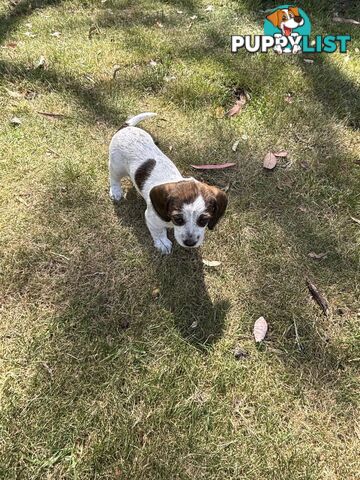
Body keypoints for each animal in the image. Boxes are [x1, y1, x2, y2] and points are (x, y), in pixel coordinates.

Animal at [109, 113, 228, 255]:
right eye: (178, 219)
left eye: (204, 220)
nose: (190, 243)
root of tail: (126, 128)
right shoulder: (152, 219)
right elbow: (159, 232)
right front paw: (162, 243)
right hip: (116, 167)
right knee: (114, 178)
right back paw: (116, 191)